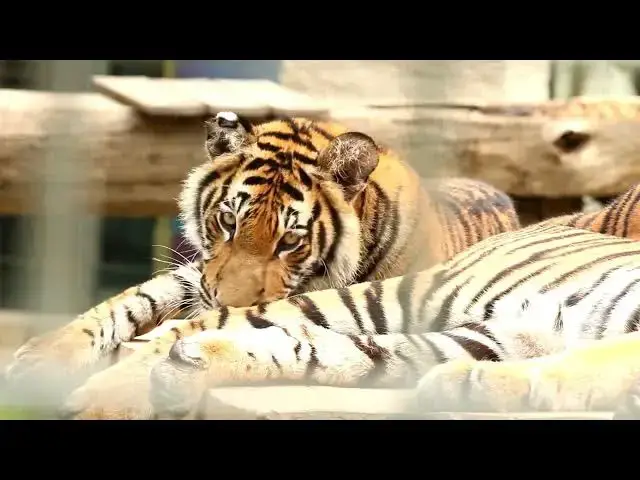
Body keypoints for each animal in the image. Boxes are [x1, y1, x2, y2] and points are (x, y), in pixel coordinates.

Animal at [5, 111, 521, 418]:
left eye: (290, 240)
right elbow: (133, 299)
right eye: (228, 220)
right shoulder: (200, 274)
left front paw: (103, 404)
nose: (223, 300)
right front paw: (41, 357)